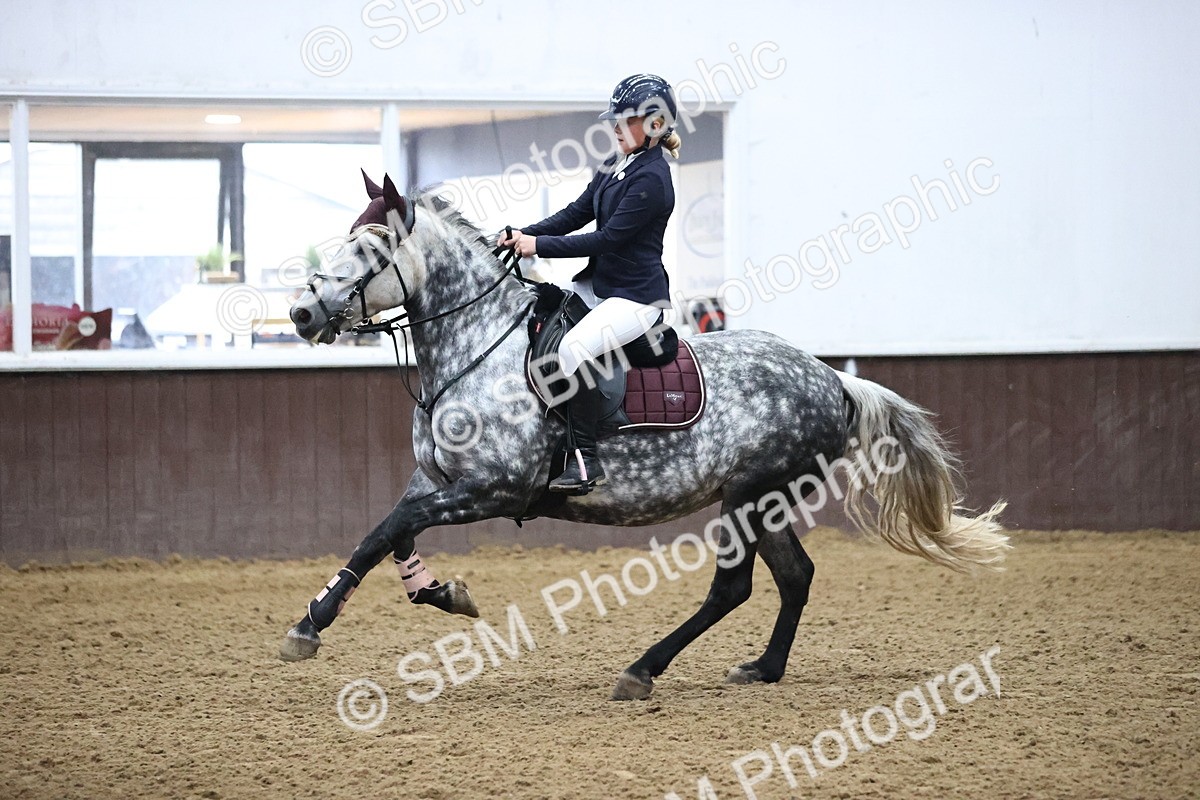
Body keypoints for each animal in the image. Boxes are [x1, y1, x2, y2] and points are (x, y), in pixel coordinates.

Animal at [281, 172, 1009, 700]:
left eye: (371, 251)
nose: (302, 313)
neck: (476, 346)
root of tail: (832, 379)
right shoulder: (435, 479)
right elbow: (389, 532)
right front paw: (431, 596)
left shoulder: (495, 488)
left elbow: (387, 528)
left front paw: (311, 626)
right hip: (766, 499)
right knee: (795, 575)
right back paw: (762, 668)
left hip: (749, 493)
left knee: (733, 588)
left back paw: (642, 670)